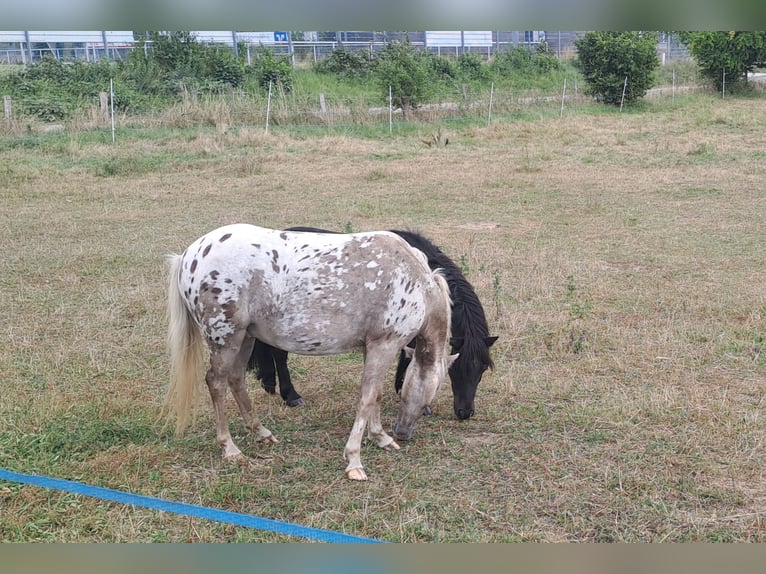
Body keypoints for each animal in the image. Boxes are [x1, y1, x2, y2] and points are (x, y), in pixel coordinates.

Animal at [165, 223, 457, 481]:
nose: (403, 433)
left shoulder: (375, 348)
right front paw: (354, 460)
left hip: (245, 337)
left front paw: (380, 438)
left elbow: (376, 395)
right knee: (216, 382)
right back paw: (230, 448)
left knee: (236, 380)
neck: (414, 280)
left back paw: (261, 433)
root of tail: (189, 254)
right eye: (432, 395)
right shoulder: (384, 345)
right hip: (226, 339)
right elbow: (366, 400)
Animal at [249, 227, 498, 420]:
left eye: (482, 368)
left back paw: (269, 383)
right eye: (456, 369)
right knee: (279, 354)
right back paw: (291, 396)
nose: (465, 413)